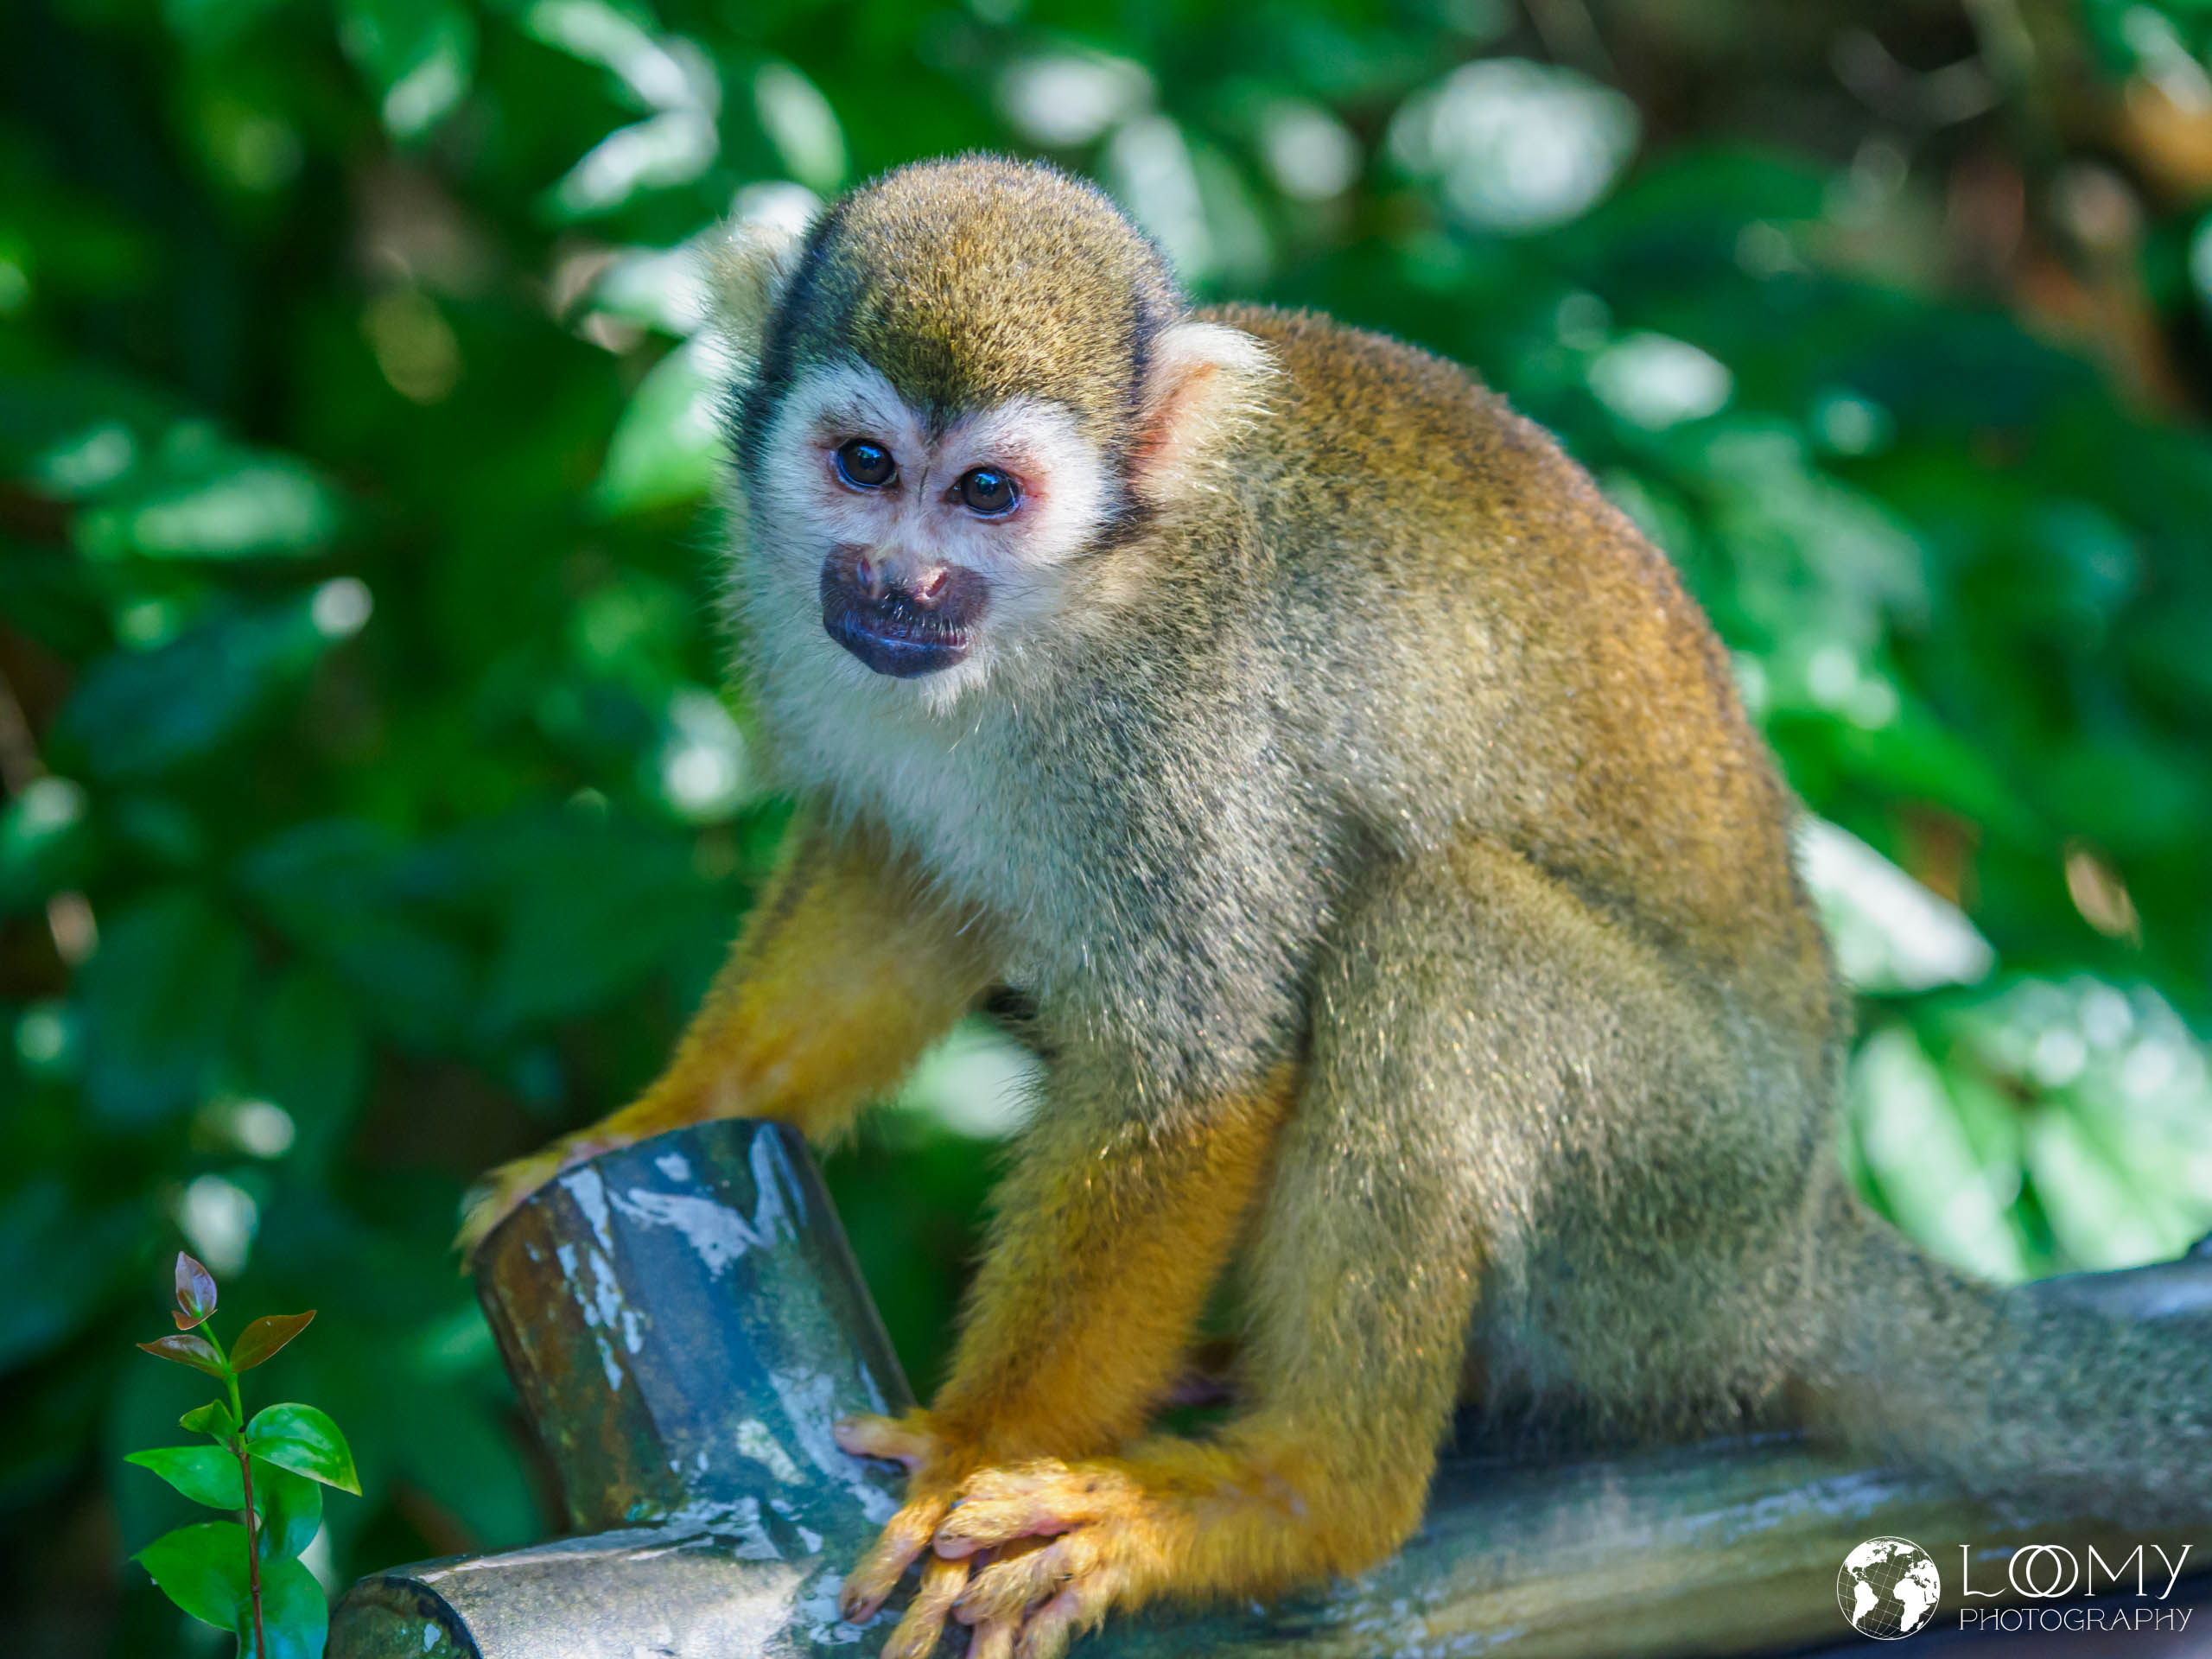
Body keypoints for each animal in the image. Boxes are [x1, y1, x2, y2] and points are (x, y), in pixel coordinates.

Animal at [459, 156, 2212, 1658]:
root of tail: (1801, 1243)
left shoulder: (1183, 725)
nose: (900, 585)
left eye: (989, 494)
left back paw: (1302, 1497)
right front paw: (660, 1116)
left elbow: (1200, 1065)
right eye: (865, 468)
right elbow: (896, 871)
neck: (1056, 618)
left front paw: (975, 1445)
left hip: (1665, 1205)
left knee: (1434, 942)